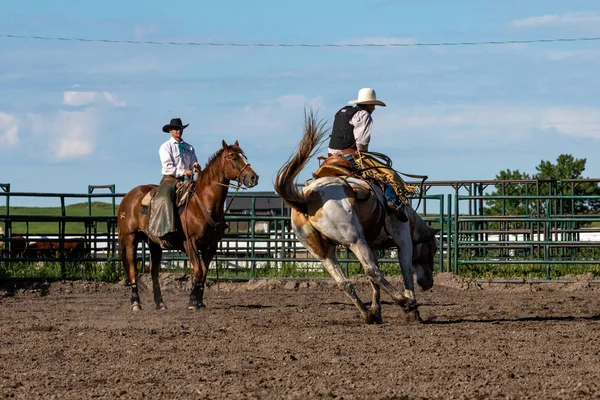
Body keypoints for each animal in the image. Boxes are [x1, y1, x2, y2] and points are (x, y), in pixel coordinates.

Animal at [117, 139, 258, 310]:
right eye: (233, 158)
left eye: (244, 156)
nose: (253, 177)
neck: (203, 203)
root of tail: (127, 197)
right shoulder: (190, 243)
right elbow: (198, 270)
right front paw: (192, 301)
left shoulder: (211, 245)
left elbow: (204, 272)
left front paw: (199, 301)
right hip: (130, 238)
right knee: (133, 270)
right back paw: (136, 303)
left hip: (154, 243)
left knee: (154, 271)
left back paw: (160, 303)